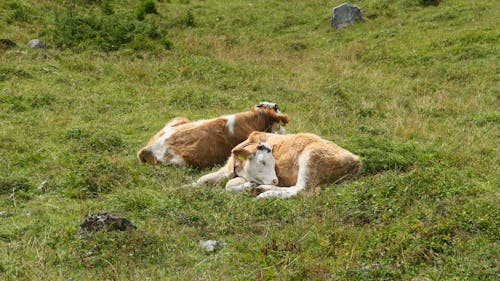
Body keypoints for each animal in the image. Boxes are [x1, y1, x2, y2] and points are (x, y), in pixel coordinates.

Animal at [193, 131, 362, 197]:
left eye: (274, 162)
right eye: (261, 161)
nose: (275, 180)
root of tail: (355, 159)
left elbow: (228, 185)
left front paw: (249, 186)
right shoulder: (226, 170)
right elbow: (203, 179)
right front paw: (188, 187)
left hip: (310, 157)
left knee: (300, 190)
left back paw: (265, 193)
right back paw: (262, 189)